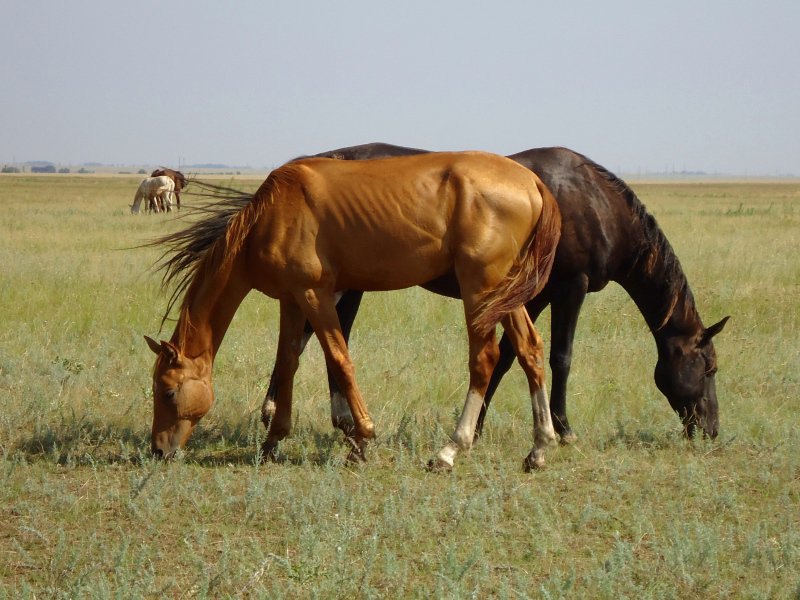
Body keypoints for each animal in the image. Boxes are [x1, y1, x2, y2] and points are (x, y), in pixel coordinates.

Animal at [148, 152, 564, 472]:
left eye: (167, 391)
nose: (158, 450)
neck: (269, 216)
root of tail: (532, 182)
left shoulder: (315, 294)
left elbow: (339, 359)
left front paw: (362, 438)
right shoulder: (291, 300)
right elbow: (287, 364)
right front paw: (272, 441)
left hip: (480, 288)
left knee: (485, 359)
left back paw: (450, 450)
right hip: (504, 293)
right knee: (529, 350)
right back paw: (539, 447)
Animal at [260, 144, 728, 446]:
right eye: (709, 368)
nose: (710, 430)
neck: (593, 203)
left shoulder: (529, 295)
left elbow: (507, 355)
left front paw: (481, 425)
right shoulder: (569, 287)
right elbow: (559, 357)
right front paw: (562, 428)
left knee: (317, 340)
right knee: (314, 340)